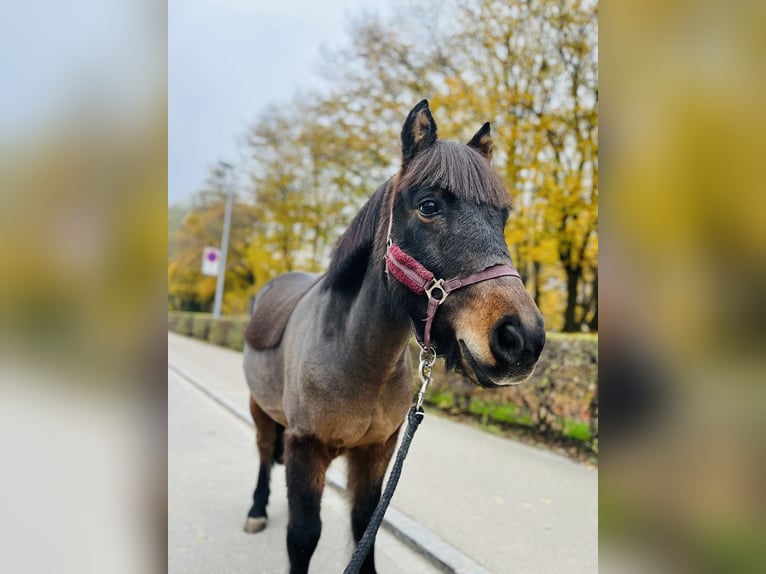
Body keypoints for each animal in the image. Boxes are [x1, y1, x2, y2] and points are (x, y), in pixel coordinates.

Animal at [243, 101, 548, 572]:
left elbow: (363, 526)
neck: (356, 358)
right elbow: (303, 536)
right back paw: (257, 509)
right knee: (261, 453)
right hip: (259, 407)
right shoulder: (304, 447)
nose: (521, 338)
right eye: (428, 205)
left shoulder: (377, 452)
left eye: (503, 216)